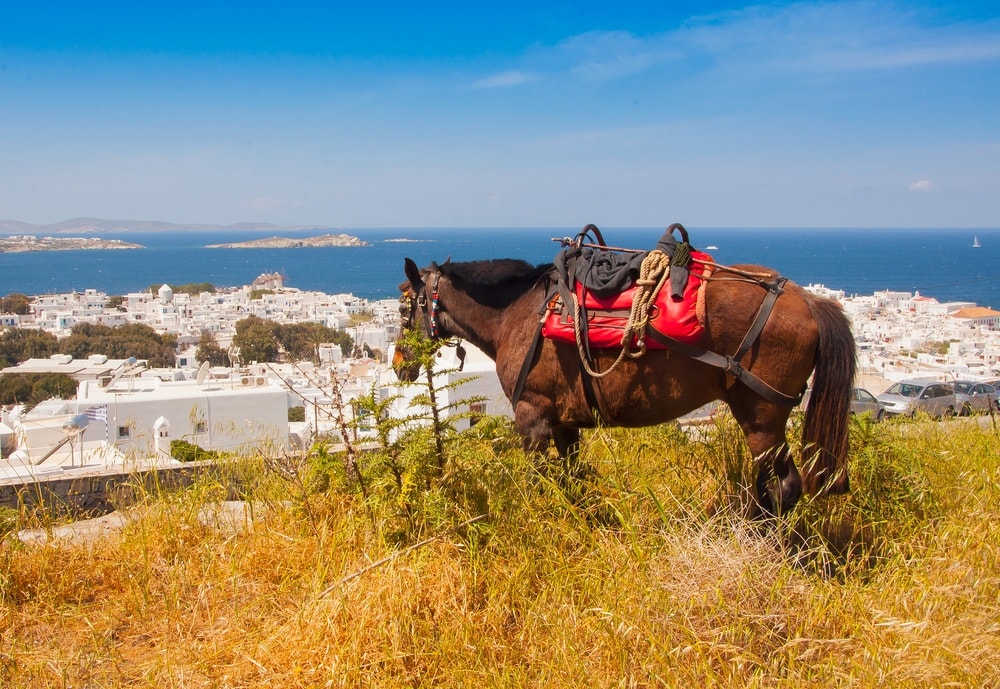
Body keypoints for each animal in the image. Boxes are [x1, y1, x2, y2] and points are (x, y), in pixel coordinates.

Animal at [394, 242, 856, 516]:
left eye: (402, 309)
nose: (399, 363)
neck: (519, 314)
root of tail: (806, 298)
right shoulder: (564, 423)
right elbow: (571, 480)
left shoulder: (533, 419)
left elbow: (540, 483)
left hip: (761, 418)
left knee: (783, 487)